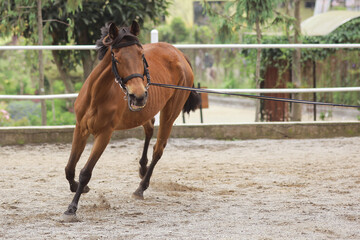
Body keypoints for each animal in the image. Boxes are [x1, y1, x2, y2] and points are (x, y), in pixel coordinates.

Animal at [63, 20, 198, 219]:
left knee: (158, 148)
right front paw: (78, 188)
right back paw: (142, 168)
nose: (138, 95)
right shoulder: (81, 128)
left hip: (171, 111)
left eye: (141, 55)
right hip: (145, 111)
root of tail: (179, 54)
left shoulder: (104, 134)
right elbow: (70, 167)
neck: (96, 96)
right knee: (149, 128)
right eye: (117, 58)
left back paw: (141, 188)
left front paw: (72, 207)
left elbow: (86, 171)